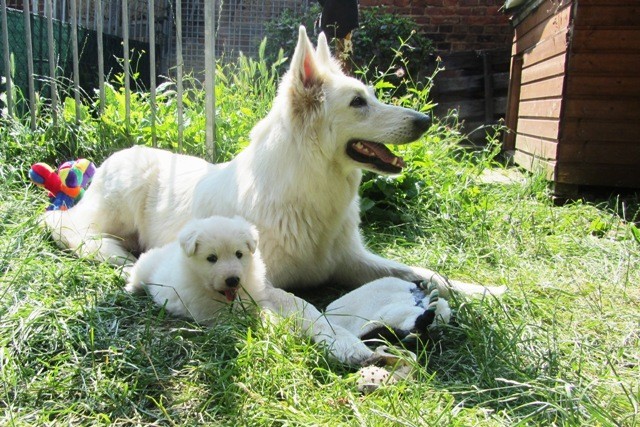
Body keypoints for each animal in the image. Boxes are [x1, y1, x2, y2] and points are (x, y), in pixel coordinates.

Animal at [125, 215, 266, 324]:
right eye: (212, 258)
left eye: (239, 254)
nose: (233, 280)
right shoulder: (203, 308)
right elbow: (224, 317)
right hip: (144, 268)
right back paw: (130, 289)